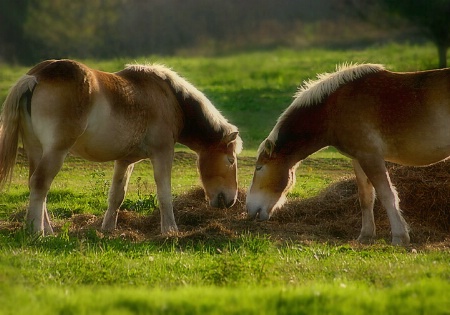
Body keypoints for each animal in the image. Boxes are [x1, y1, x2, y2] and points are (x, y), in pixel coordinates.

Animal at [0, 59, 243, 237]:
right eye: (230, 160)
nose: (231, 200)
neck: (168, 98)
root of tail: (37, 76)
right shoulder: (163, 153)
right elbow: (164, 193)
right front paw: (170, 230)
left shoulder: (125, 160)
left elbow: (117, 194)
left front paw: (107, 229)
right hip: (56, 151)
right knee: (40, 183)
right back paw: (36, 232)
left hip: (36, 151)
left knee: (37, 186)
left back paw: (48, 230)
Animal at [246, 63, 450, 247]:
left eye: (259, 167)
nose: (249, 208)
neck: (333, 109)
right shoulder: (358, 159)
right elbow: (366, 197)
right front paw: (366, 236)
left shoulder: (371, 157)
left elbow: (387, 195)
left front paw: (400, 237)